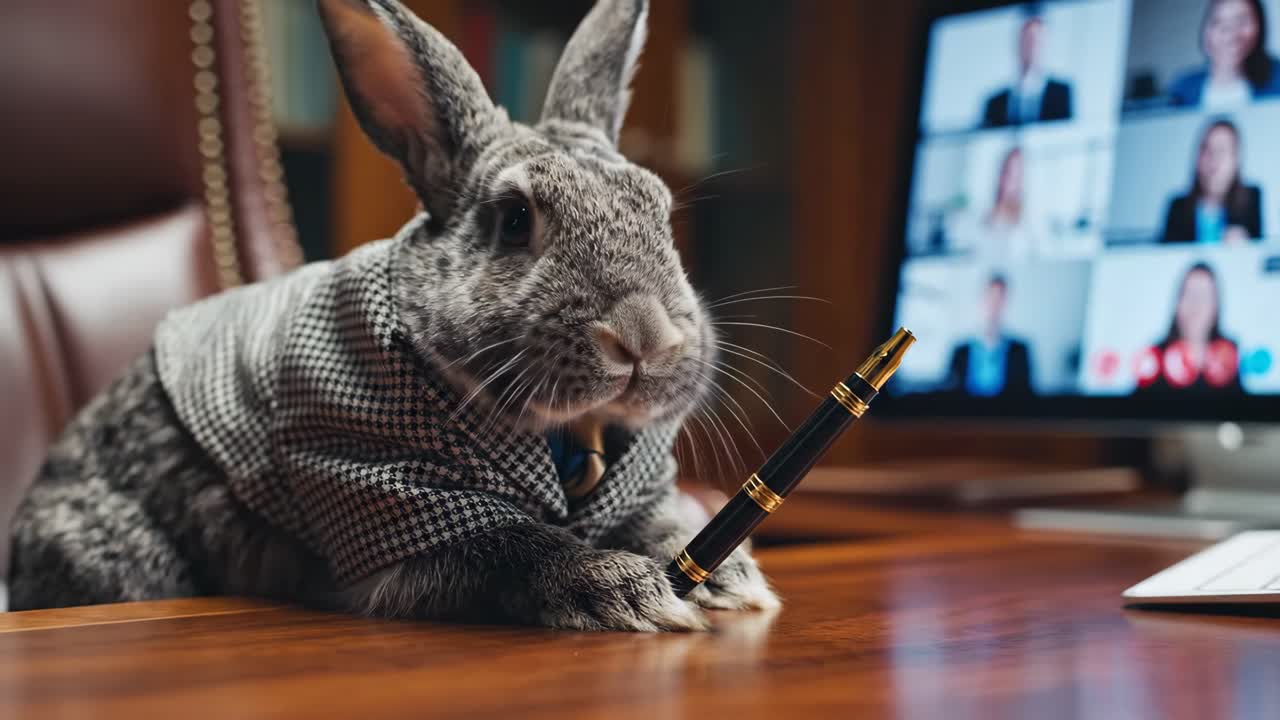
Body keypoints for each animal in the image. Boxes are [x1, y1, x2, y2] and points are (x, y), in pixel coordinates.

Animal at [6, 0, 779, 630]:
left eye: (660, 209)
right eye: (514, 220)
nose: (645, 334)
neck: (564, 436)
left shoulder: (640, 494)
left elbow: (665, 526)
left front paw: (734, 583)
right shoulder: (381, 493)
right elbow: (511, 544)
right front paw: (625, 590)